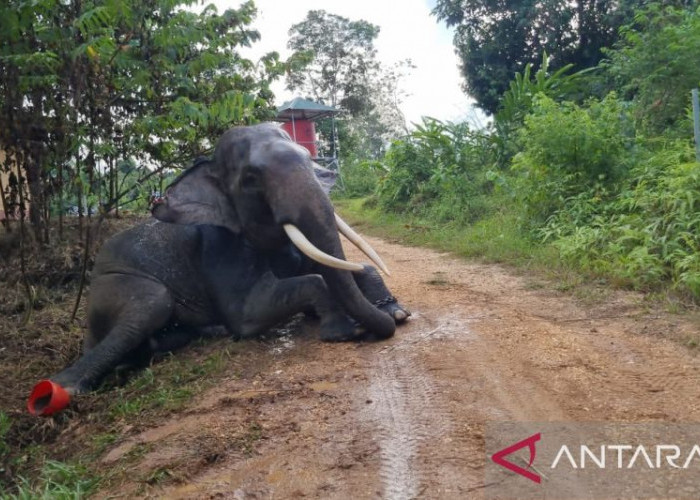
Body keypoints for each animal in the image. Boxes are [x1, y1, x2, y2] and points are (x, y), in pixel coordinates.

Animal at [27, 123, 410, 416]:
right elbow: (251, 312)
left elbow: (339, 264)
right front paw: (344, 331)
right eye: (251, 178)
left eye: (309, 159)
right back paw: (57, 392)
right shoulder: (219, 248)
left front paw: (397, 312)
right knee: (153, 301)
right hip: (113, 284)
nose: (378, 326)